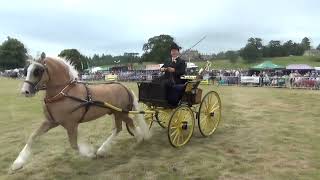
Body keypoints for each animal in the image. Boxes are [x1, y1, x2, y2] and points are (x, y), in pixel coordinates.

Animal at [10, 57, 150, 171]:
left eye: (37, 71)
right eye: (26, 70)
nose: (25, 91)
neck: (63, 94)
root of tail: (124, 87)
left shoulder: (71, 124)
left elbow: (74, 145)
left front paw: (89, 154)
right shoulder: (51, 122)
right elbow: (32, 137)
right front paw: (18, 163)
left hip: (120, 113)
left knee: (128, 123)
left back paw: (138, 139)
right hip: (115, 113)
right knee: (119, 128)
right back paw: (103, 150)